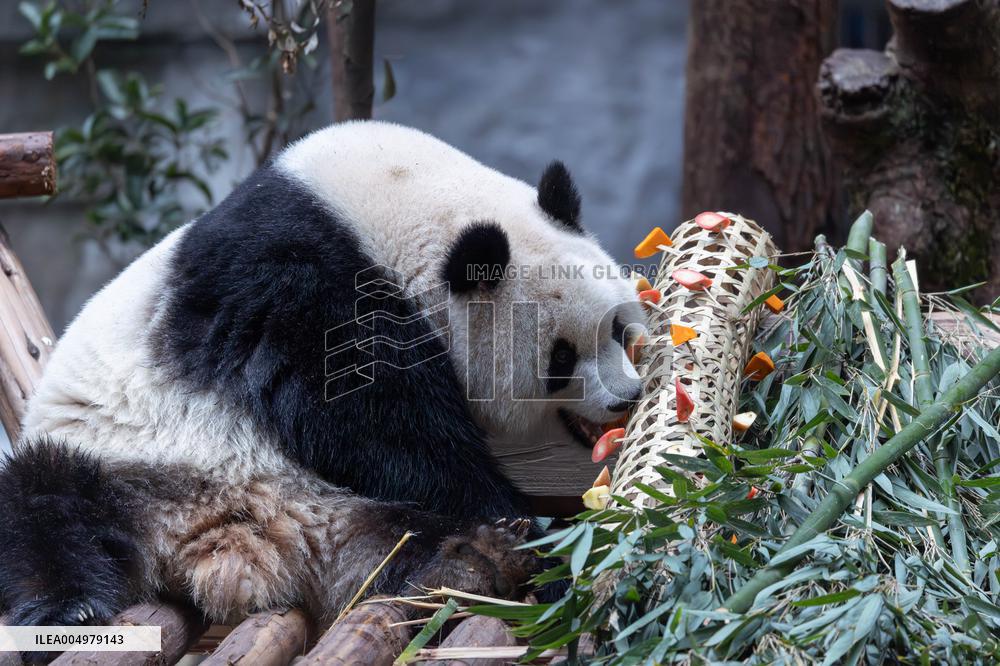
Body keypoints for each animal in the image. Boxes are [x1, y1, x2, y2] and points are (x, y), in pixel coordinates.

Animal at [0, 122, 645, 629]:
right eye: (559, 360)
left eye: (616, 328)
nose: (625, 397)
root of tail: (234, 542)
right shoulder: (298, 286)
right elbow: (373, 422)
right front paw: (511, 511)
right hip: (115, 452)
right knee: (42, 507)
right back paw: (67, 605)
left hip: (337, 513)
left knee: (398, 543)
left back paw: (476, 561)